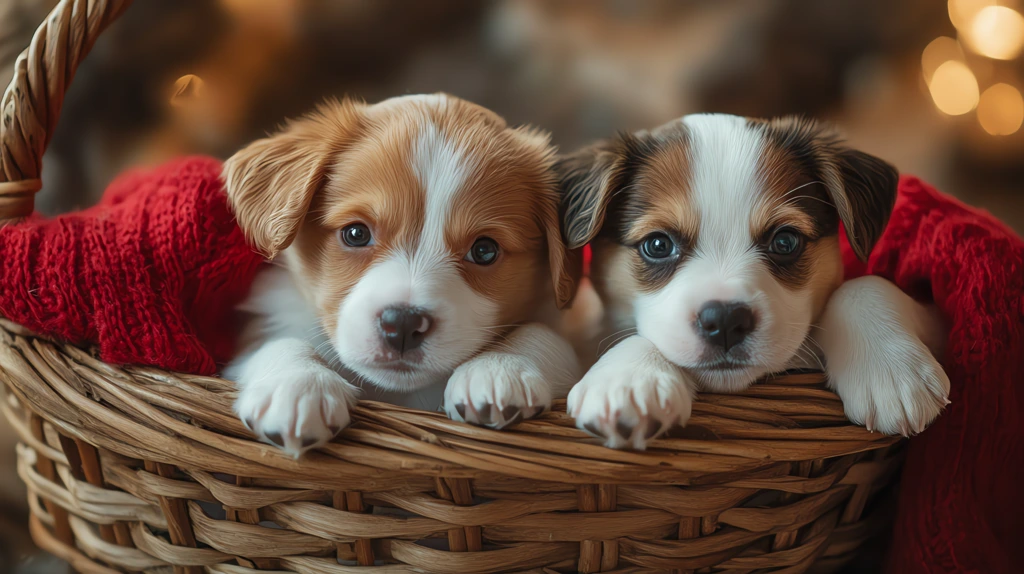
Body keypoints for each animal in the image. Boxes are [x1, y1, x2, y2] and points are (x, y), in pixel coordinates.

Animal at [221, 93, 581, 456]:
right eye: (356, 234)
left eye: (484, 251)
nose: (404, 324)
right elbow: (279, 341)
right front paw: (299, 384)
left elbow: (544, 333)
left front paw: (499, 369)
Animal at [561, 113, 950, 448]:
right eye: (658, 245)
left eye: (785, 241)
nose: (724, 321)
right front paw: (629, 381)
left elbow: (862, 285)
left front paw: (890, 370)